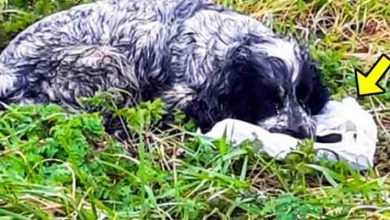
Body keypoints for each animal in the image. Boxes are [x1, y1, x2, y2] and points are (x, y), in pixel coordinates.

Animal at [0, 0, 330, 138]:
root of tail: (7, 71)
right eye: (268, 101)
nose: (300, 132)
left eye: (303, 97)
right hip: (109, 62)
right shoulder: (177, 96)